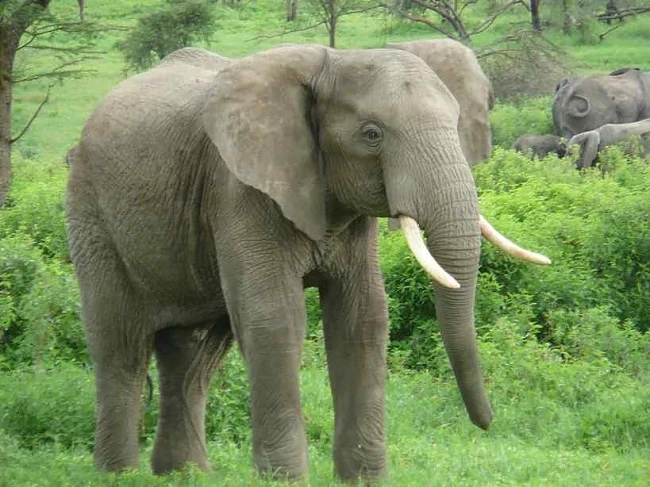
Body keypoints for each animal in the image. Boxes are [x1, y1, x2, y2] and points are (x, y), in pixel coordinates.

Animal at [66, 44, 549, 483]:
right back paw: (118, 474)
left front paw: (364, 479)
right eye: (372, 135)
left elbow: (363, 318)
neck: (330, 62)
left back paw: (185, 474)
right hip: (91, 212)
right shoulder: (239, 188)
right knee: (120, 344)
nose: (487, 423)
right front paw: (285, 478)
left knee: (193, 355)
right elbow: (275, 319)